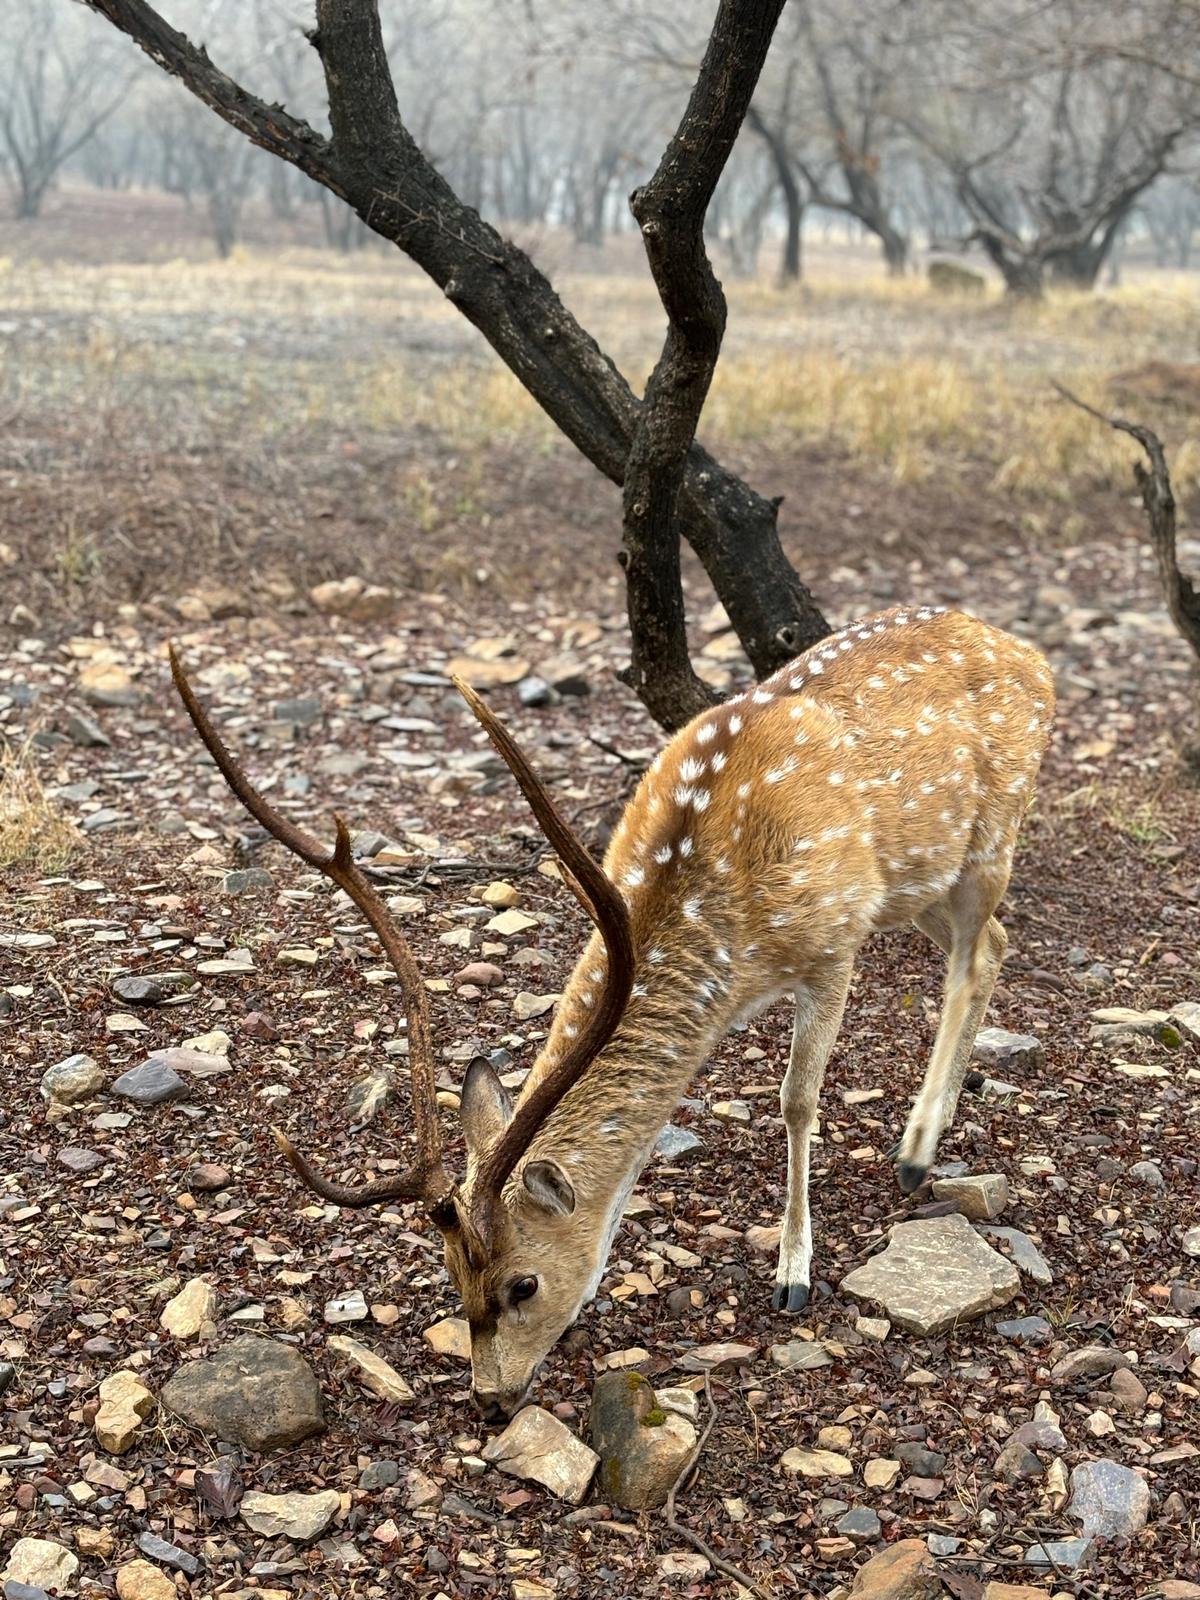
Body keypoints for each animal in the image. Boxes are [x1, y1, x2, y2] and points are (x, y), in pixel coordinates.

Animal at [169, 604, 1049, 1420]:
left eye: (523, 1285)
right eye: (450, 1275)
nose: (491, 1402)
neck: (733, 934)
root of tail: (1026, 650)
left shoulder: (833, 943)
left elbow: (798, 1101)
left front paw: (794, 1271)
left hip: (987, 842)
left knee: (982, 947)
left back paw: (917, 1153)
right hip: (923, 882)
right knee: (991, 945)